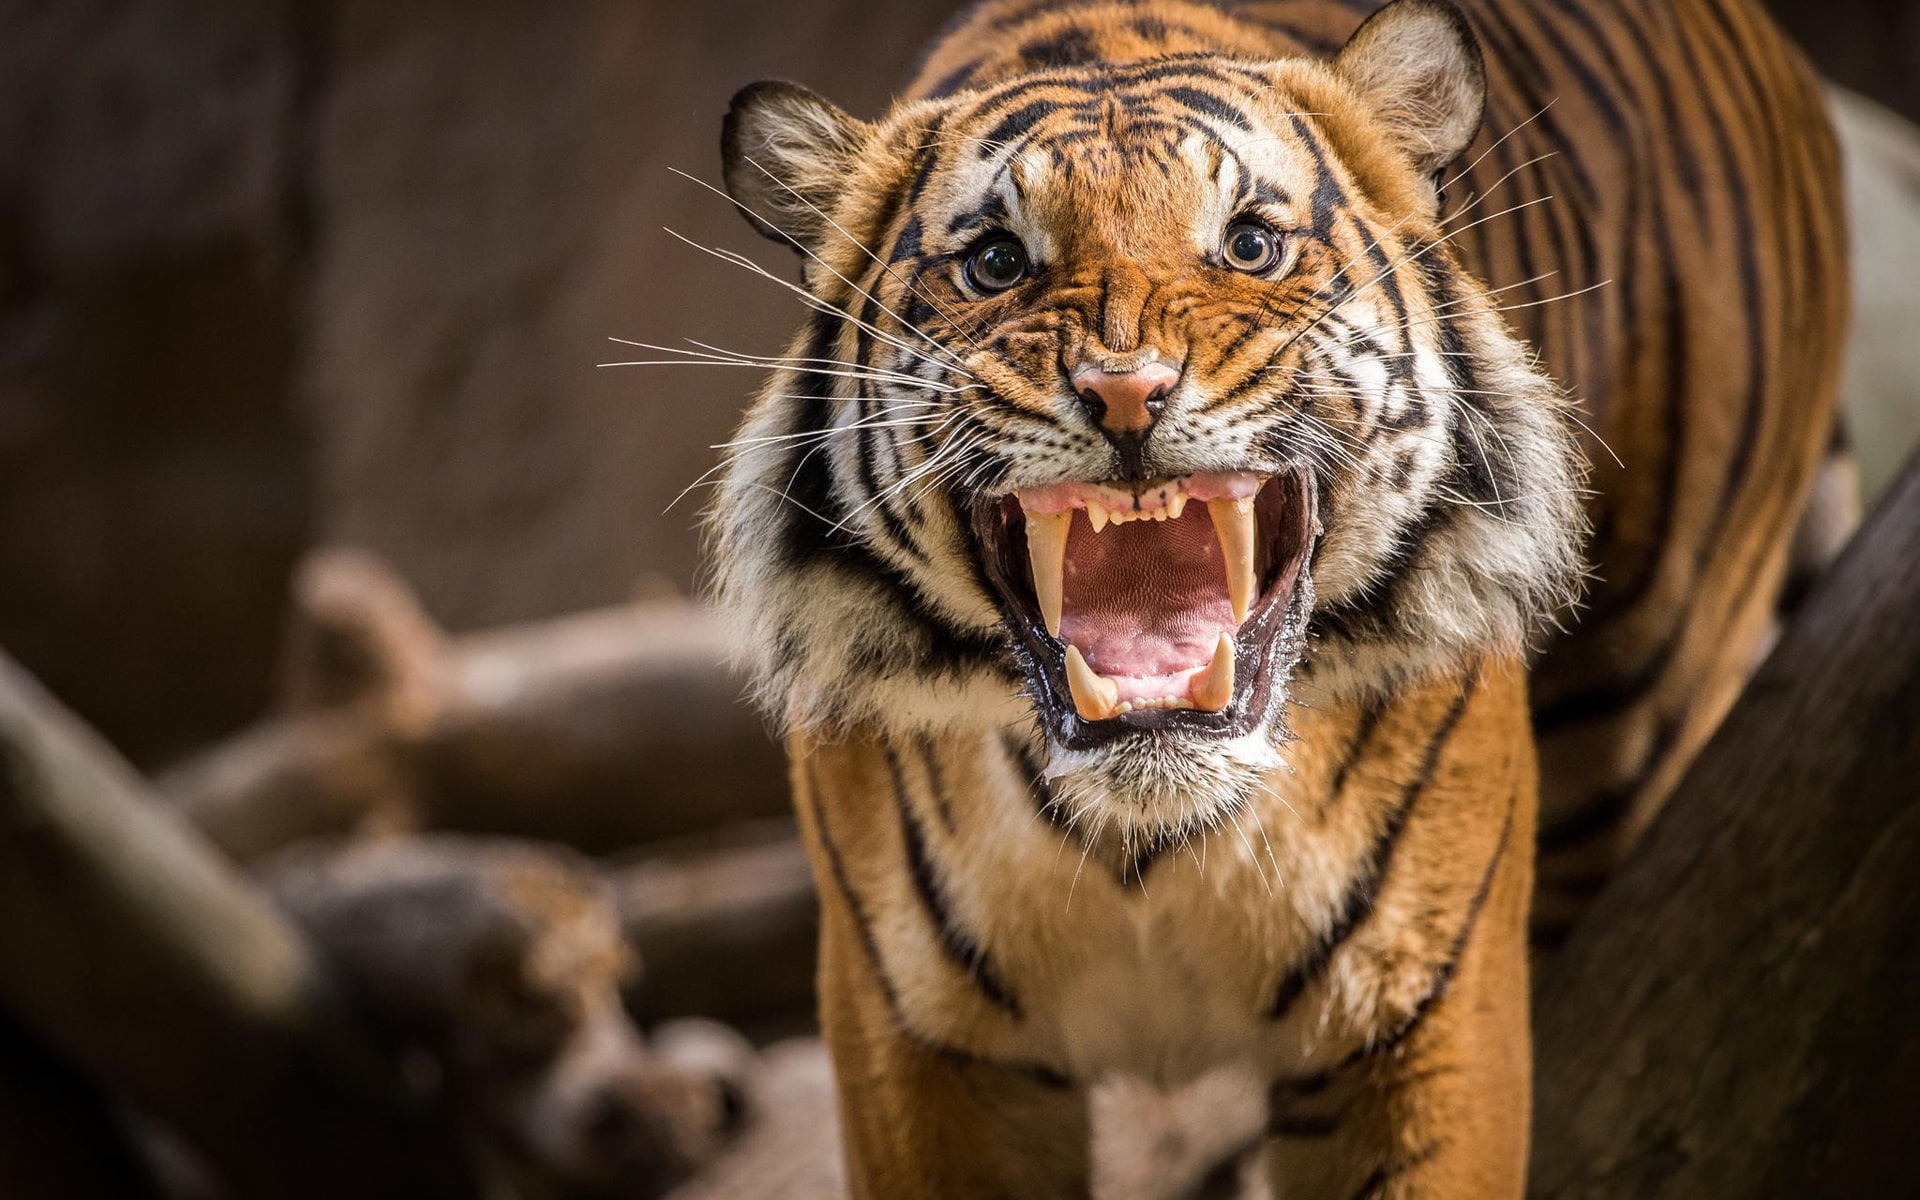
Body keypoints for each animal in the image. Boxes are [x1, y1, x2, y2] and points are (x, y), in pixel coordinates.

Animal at [704, 0, 1846, 1194]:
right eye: (997, 263)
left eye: (1249, 243)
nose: (1127, 392)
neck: (1148, 838)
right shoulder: (921, 1049)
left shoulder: (1423, 1020)